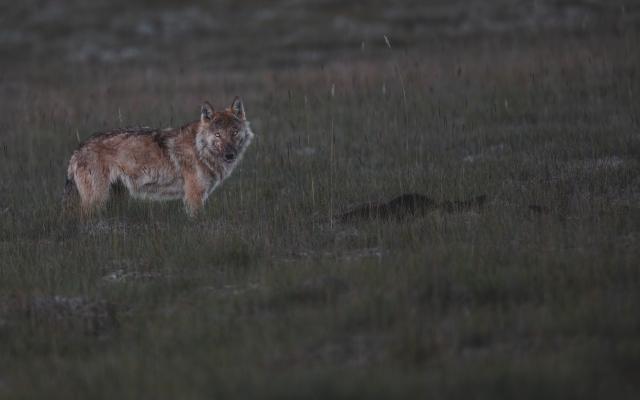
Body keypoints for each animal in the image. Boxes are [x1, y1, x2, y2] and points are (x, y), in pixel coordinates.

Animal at [64, 97, 254, 217]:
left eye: (234, 132)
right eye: (218, 135)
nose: (230, 155)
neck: (200, 150)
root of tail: (77, 150)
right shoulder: (194, 197)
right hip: (96, 200)